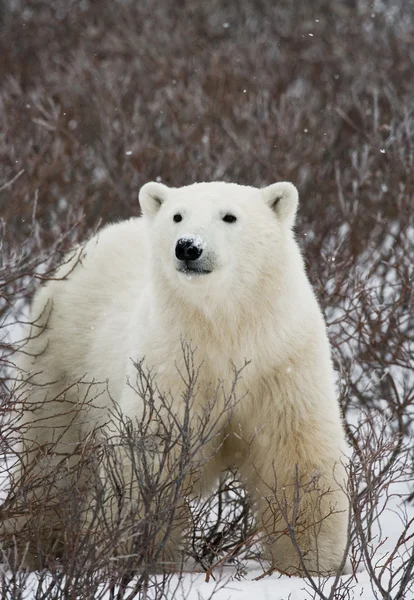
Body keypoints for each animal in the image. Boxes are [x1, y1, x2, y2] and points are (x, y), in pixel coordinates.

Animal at [7, 180, 350, 576]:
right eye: (177, 216)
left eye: (229, 216)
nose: (187, 246)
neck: (224, 329)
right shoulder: (169, 364)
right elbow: (148, 455)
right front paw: (129, 557)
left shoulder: (282, 360)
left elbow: (294, 455)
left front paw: (312, 563)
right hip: (61, 360)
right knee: (52, 455)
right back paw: (30, 544)